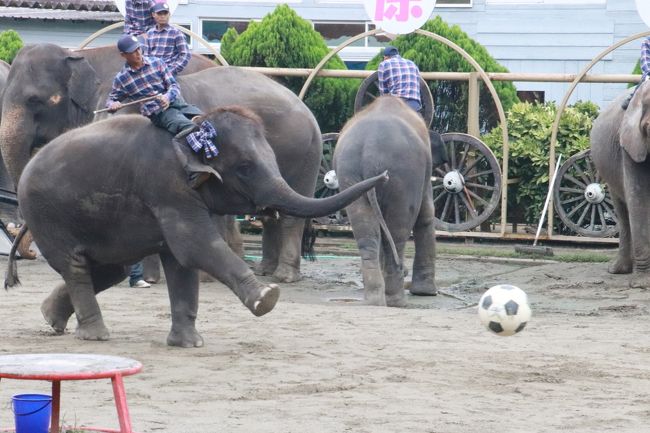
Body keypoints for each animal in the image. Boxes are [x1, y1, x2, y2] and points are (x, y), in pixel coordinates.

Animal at [0, 43, 322, 280]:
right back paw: (265, 270)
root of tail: (309, 111)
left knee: (291, 213)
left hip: (304, 154)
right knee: (272, 211)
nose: (27, 251)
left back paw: (283, 276)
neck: (80, 53)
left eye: (34, 100)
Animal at [7, 109, 384, 348]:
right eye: (244, 168)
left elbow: (182, 262)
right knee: (76, 266)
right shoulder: (167, 186)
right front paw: (267, 297)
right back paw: (96, 336)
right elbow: (195, 246)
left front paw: (189, 345)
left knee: (110, 269)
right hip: (47, 216)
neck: (191, 131)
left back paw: (51, 318)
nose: (383, 176)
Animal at [330, 97, 436, 308]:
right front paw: (426, 293)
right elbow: (426, 214)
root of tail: (371, 151)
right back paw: (396, 301)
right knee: (398, 230)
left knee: (365, 229)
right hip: (404, 176)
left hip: (349, 174)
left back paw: (374, 300)